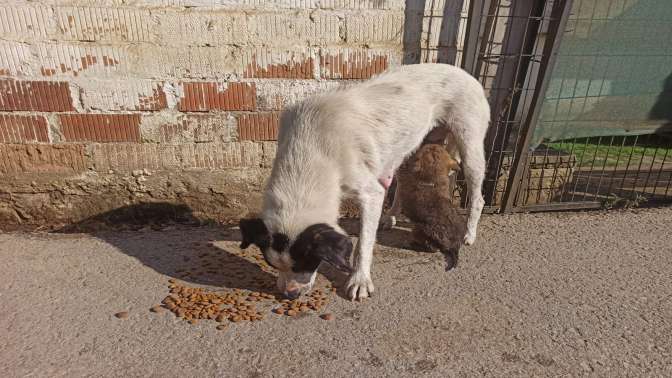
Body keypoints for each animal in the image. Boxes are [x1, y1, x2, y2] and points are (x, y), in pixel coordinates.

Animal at [239, 62, 490, 300]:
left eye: (307, 263)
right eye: (272, 265)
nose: (289, 295)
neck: (308, 153)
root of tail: (464, 73)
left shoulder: (370, 193)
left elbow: (363, 244)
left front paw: (359, 280)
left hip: (470, 148)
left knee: (478, 197)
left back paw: (469, 233)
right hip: (413, 148)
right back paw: (390, 216)